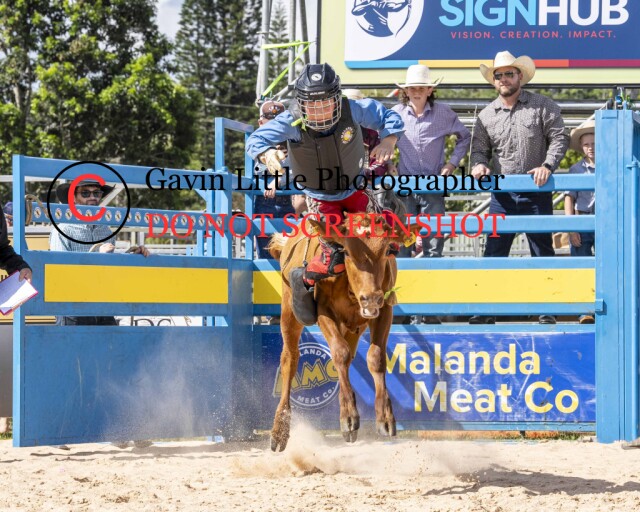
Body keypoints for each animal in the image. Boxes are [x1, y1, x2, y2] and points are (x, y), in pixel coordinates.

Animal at [267, 213, 418, 452]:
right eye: (346, 251)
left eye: (387, 250)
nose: (370, 297)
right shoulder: (323, 310)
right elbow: (339, 352)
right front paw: (349, 417)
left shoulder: (384, 309)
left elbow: (375, 358)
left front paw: (384, 418)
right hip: (289, 312)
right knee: (290, 359)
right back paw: (279, 431)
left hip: (354, 326)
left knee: (347, 359)